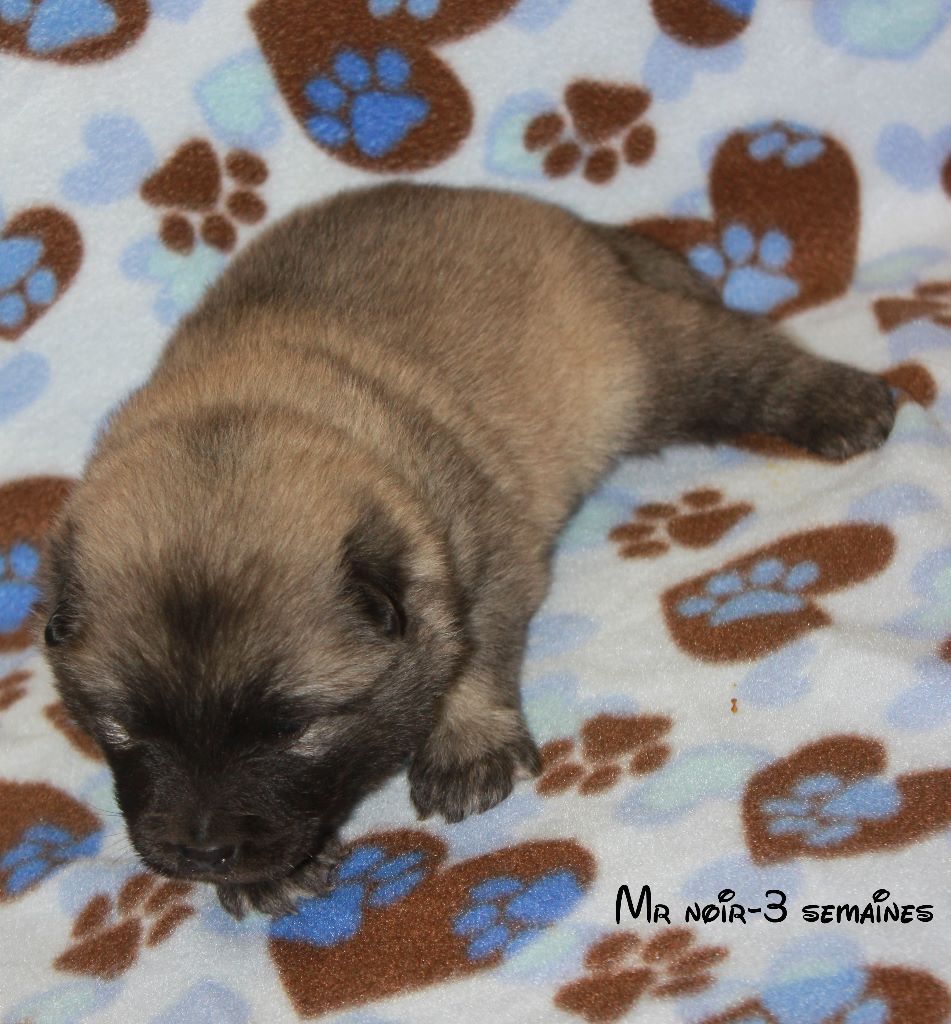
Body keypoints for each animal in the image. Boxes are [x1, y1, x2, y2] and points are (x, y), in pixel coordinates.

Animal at [38, 184, 895, 917]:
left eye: (290, 729)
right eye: (120, 726)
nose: (201, 851)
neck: (244, 408)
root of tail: (555, 219)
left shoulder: (482, 554)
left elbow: (474, 651)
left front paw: (461, 745)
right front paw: (261, 878)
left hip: (639, 361)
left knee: (744, 357)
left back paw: (842, 400)